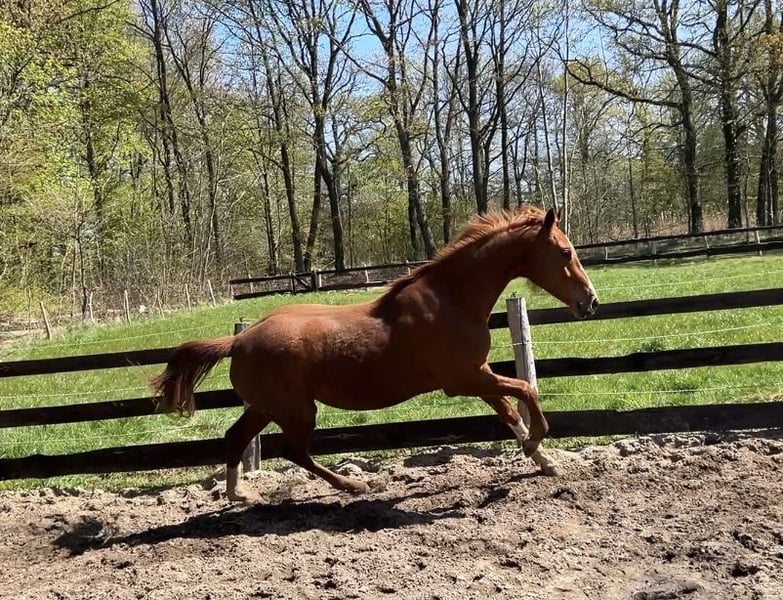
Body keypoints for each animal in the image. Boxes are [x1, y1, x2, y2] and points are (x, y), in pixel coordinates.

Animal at [152, 207, 598, 502]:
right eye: (564, 252)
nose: (591, 302)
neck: (451, 300)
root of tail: (239, 340)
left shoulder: (480, 372)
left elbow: (509, 410)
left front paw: (544, 461)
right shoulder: (464, 379)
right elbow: (526, 389)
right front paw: (537, 442)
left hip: (264, 407)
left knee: (236, 438)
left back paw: (240, 496)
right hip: (296, 410)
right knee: (294, 451)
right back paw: (356, 484)